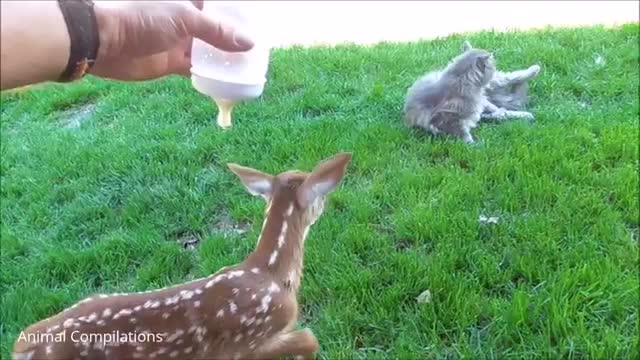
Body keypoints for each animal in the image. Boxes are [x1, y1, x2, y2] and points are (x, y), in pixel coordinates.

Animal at [404, 40, 540, 143]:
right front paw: (476, 146)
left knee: (510, 77)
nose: (495, 67)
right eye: (492, 65)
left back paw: (535, 69)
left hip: (496, 82)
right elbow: (465, 135)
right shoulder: (447, 120)